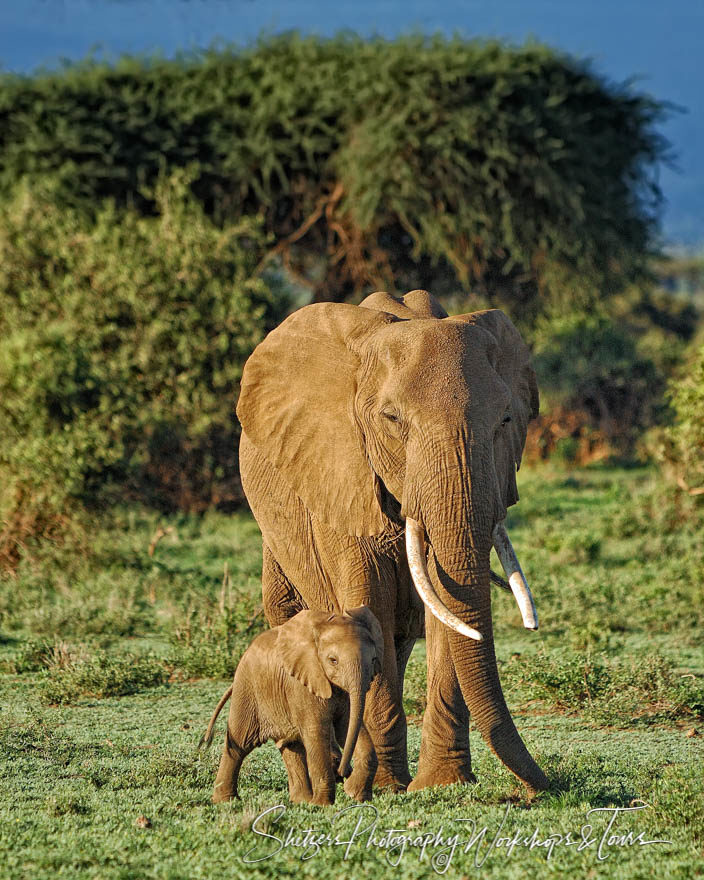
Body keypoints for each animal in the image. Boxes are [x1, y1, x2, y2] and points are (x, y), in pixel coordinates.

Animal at [198, 604, 384, 804]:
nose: (343, 772)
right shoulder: (302, 684)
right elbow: (316, 732)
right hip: (247, 688)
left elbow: (348, 726)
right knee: (240, 743)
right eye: (333, 660)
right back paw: (225, 801)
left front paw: (357, 797)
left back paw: (301, 801)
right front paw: (322, 805)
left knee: (291, 746)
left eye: (374, 660)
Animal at [239, 290, 548, 796]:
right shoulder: (340, 471)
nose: (544, 786)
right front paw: (384, 788)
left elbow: (448, 610)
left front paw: (440, 786)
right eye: (392, 419)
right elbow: (370, 604)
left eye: (506, 420)